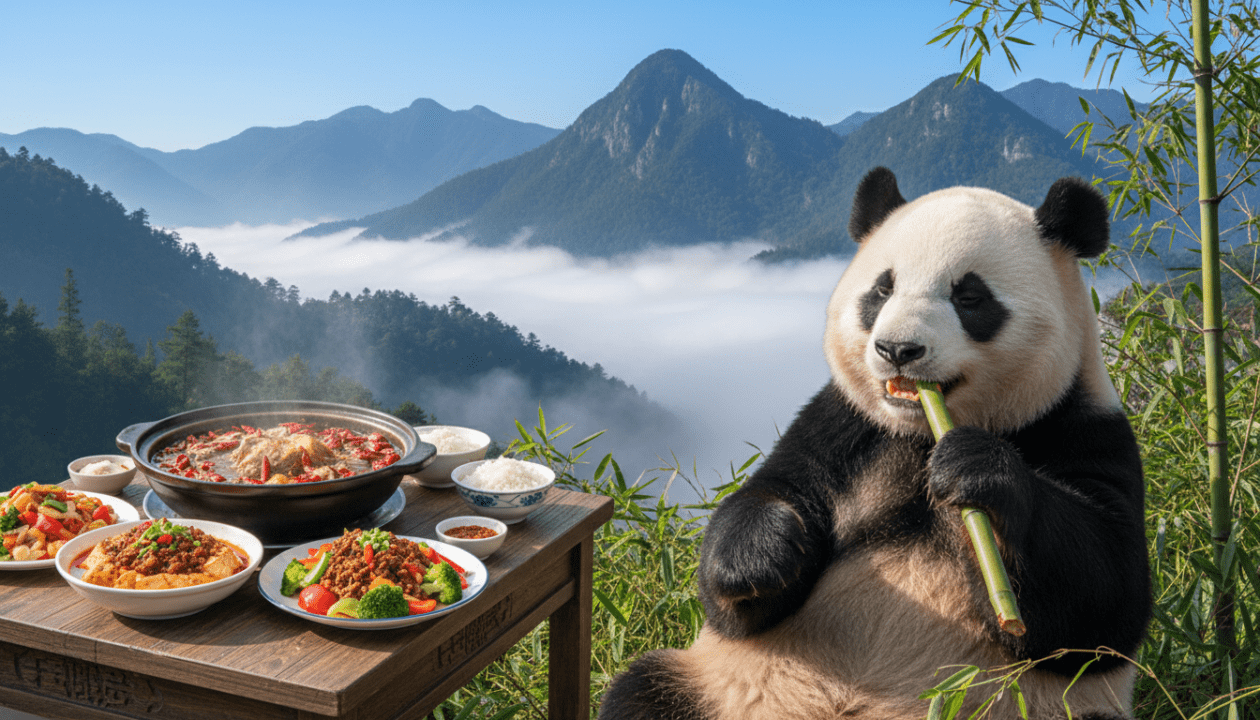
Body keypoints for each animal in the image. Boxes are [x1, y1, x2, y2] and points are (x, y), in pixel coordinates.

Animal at [598, 167, 1151, 720]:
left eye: (970, 297)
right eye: (882, 291)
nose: (897, 349)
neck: (921, 433)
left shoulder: (1081, 428)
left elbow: (1103, 604)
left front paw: (976, 470)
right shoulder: (844, 428)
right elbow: (759, 531)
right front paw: (764, 553)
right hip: (712, 685)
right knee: (643, 690)